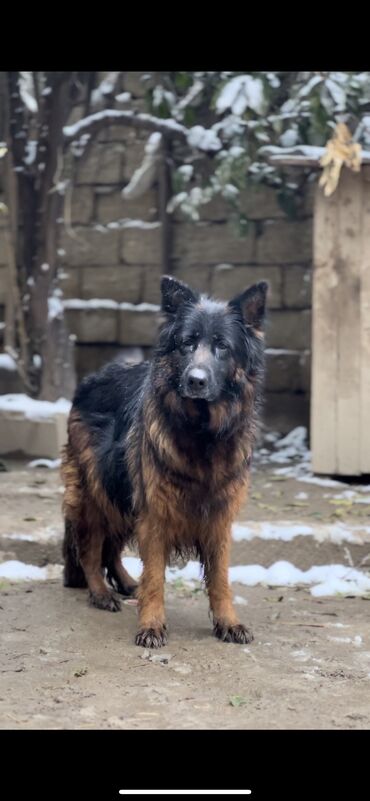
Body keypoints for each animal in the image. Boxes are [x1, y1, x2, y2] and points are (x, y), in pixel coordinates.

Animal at [62, 274, 268, 644]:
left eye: (222, 346)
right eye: (187, 343)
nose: (195, 380)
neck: (201, 434)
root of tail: (91, 378)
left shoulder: (218, 518)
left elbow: (220, 579)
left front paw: (228, 622)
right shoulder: (155, 513)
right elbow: (156, 575)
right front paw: (151, 624)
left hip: (123, 495)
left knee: (111, 548)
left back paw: (127, 583)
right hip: (96, 494)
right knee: (90, 548)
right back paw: (100, 592)